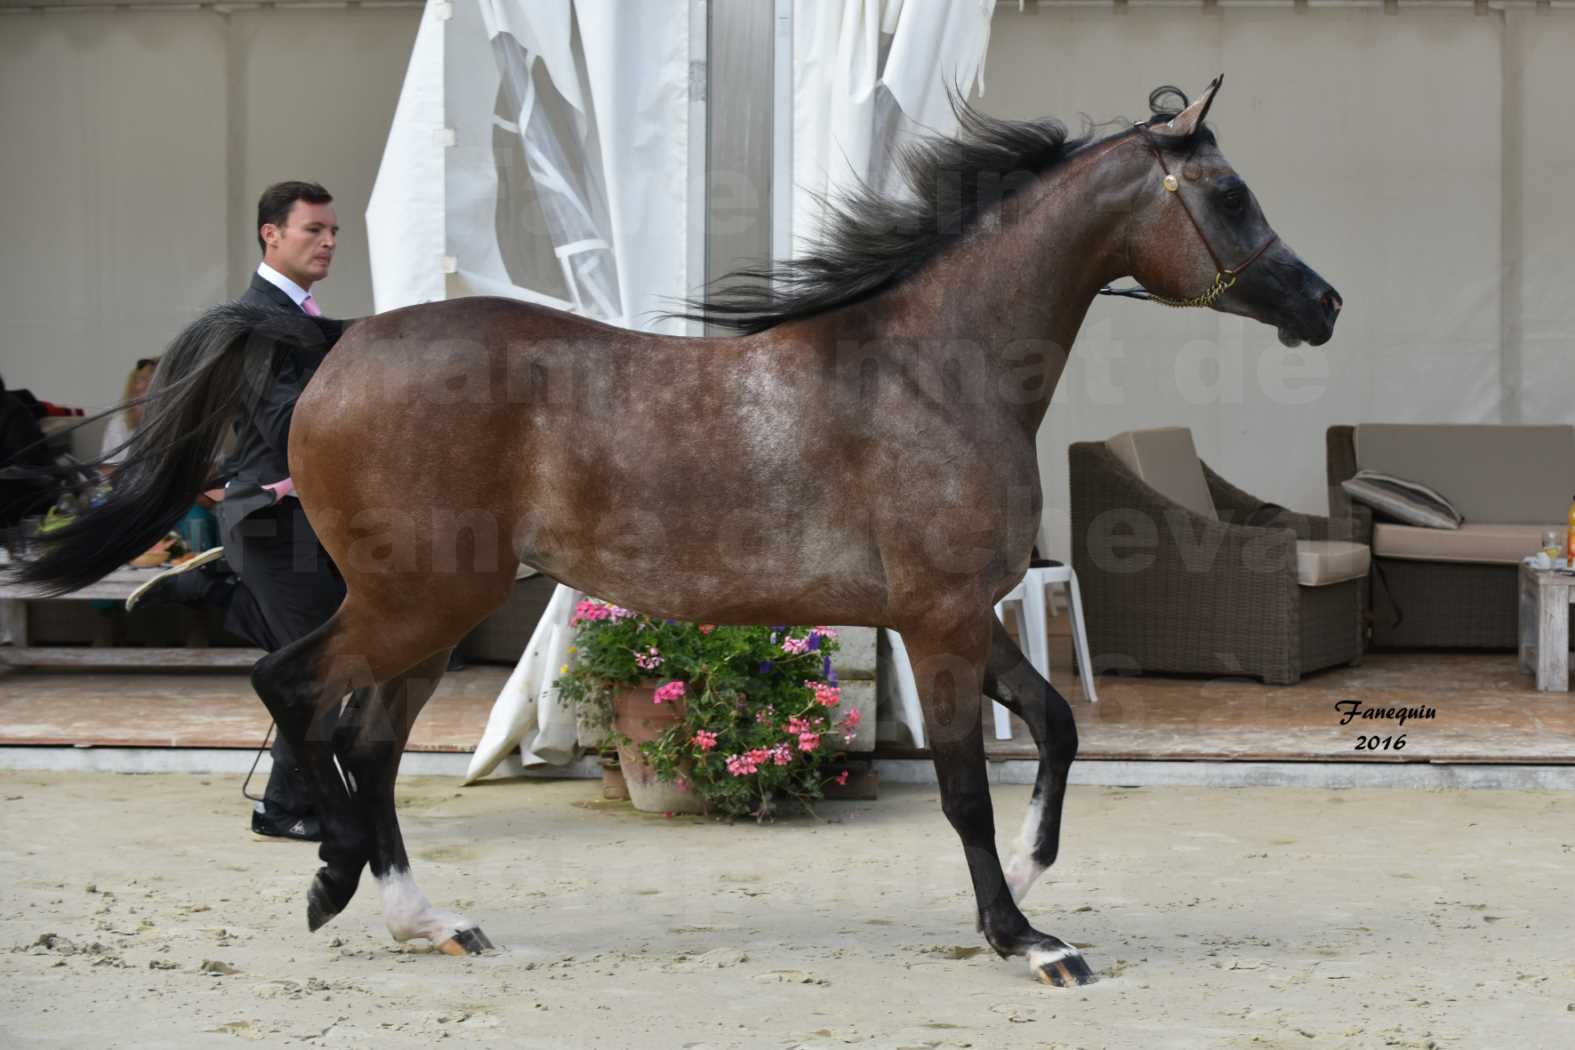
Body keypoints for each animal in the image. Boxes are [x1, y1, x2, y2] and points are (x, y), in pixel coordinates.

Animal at [12, 77, 1341, 988]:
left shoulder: (960, 616)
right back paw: (334, 880)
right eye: (1229, 195)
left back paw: (423, 916)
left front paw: (1028, 882)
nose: (1322, 304)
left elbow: (1056, 729)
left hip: (427, 618)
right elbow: (967, 786)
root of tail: (334, 342)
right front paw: (1025, 938)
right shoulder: (940, 623)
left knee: (370, 744)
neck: (932, 370)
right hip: (411, 601)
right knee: (293, 692)